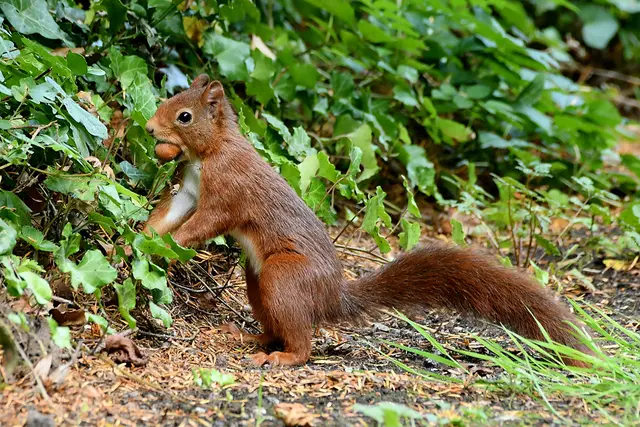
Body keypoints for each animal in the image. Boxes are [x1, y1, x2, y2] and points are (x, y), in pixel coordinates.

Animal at [142, 74, 592, 368]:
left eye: (184, 116)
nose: (147, 128)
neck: (210, 152)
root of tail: (332, 297)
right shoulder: (189, 191)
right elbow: (169, 214)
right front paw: (145, 237)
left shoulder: (228, 193)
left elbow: (206, 223)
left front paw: (171, 247)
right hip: (259, 282)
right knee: (277, 325)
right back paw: (251, 337)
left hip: (284, 277)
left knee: (302, 340)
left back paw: (283, 358)